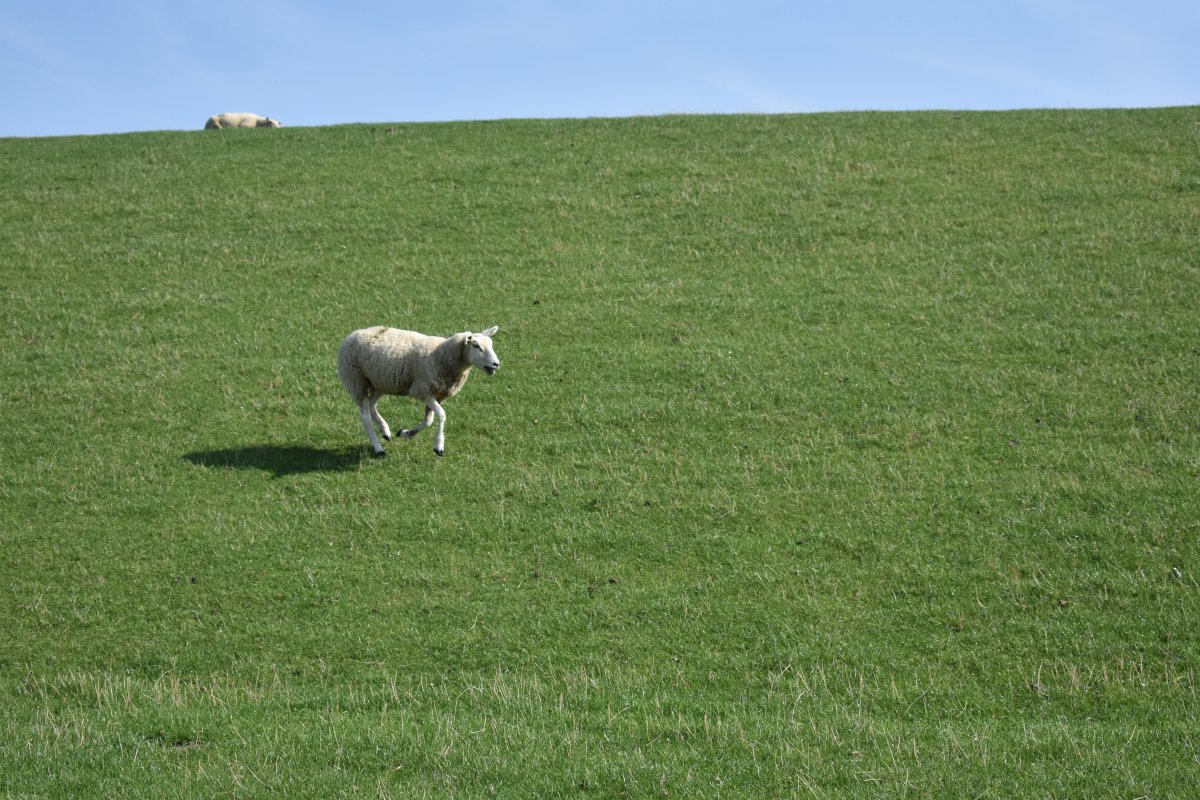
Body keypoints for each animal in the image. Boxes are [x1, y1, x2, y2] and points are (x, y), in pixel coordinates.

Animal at [338, 326, 501, 455]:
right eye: (476, 346)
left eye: (491, 344)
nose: (496, 364)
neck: (443, 355)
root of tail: (352, 334)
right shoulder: (422, 390)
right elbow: (441, 415)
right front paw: (439, 446)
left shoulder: (437, 394)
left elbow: (428, 420)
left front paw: (406, 433)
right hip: (356, 381)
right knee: (365, 416)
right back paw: (378, 447)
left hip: (381, 382)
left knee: (372, 406)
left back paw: (385, 431)